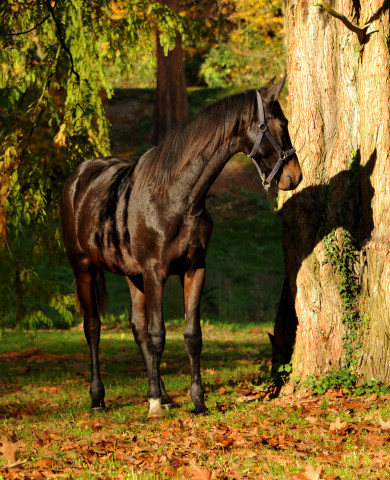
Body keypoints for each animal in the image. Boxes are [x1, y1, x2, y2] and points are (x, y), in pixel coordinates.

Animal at [60, 76, 302, 420]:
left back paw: (161, 393)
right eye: (280, 124)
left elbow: (191, 336)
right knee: (93, 328)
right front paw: (154, 407)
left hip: (133, 276)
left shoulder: (193, 270)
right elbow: (158, 335)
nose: (295, 176)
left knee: (137, 329)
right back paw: (99, 398)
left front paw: (197, 402)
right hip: (83, 267)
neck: (176, 197)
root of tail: (78, 177)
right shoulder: (155, 273)